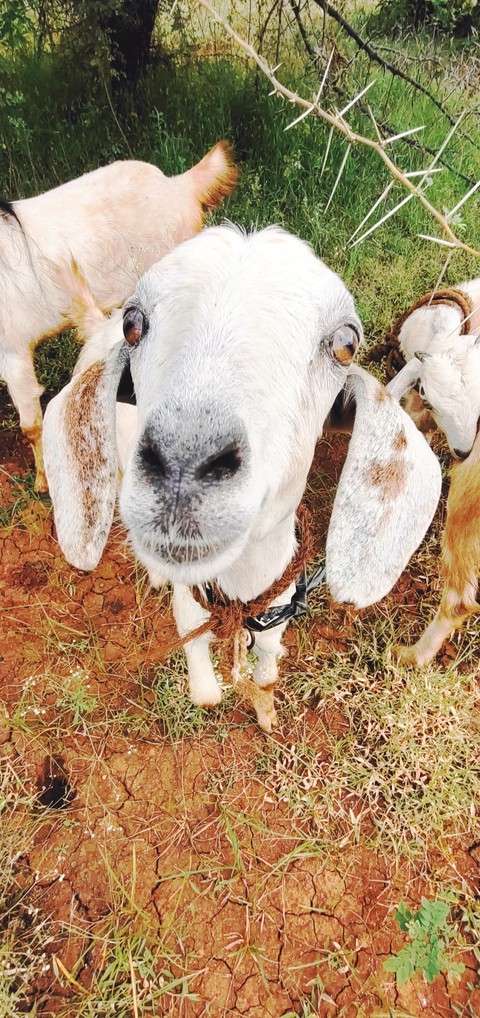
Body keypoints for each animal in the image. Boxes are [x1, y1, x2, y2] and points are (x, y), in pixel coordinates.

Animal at [42, 225, 441, 730]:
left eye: (346, 344)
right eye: (135, 324)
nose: (184, 463)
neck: (240, 596)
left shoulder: (278, 608)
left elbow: (268, 668)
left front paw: (267, 714)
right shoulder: (190, 607)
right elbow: (206, 689)